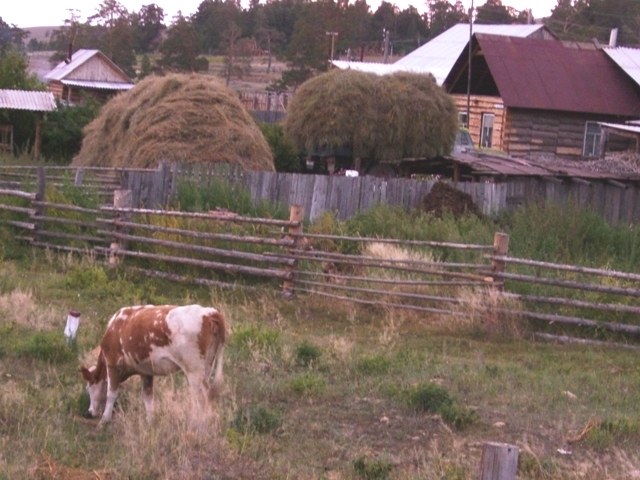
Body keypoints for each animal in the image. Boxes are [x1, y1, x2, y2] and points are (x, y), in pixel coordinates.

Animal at [80, 306, 226, 426]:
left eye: (88, 388)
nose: (90, 412)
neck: (116, 327)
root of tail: (210, 313)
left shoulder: (112, 364)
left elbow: (111, 393)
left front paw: (104, 420)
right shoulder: (146, 371)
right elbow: (148, 396)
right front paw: (150, 421)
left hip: (193, 370)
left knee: (201, 397)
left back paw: (197, 424)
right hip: (207, 367)